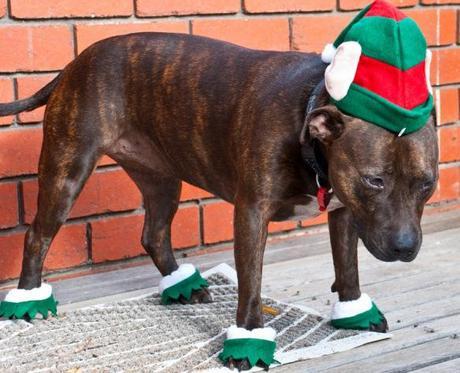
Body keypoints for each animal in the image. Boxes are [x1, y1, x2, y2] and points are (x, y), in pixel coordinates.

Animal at [0, 33, 438, 370]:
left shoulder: (345, 209)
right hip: (67, 170)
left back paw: (183, 285)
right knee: (37, 236)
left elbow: (347, 266)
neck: (309, 116)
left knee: (153, 234)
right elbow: (252, 282)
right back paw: (29, 301)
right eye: (374, 180)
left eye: (427, 185)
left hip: (161, 179)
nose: (405, 247)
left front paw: (354, 311)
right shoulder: (252, 212)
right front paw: (249, 339)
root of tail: (73, 65)